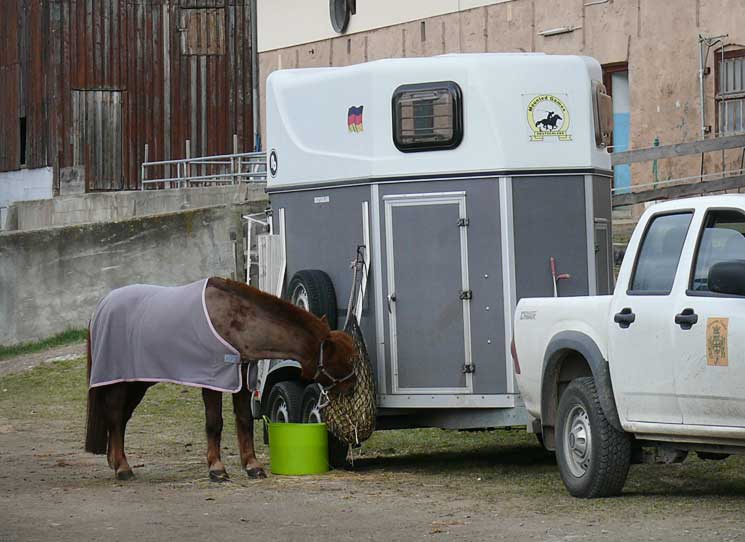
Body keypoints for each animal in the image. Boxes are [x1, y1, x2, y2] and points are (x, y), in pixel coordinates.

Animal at [84, 278, 358, 482]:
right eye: (343, 360)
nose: (353, 387)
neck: (234, 320)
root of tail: (102, 306)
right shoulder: (213, 380)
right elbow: (214, 423)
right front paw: (217, 469)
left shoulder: (242, 378)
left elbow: (244, 421)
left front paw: (252, 466)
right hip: (119, 381)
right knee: (115, 417)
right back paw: (122, 468)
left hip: (137, 381)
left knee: (121, 418)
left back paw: (115, 462)